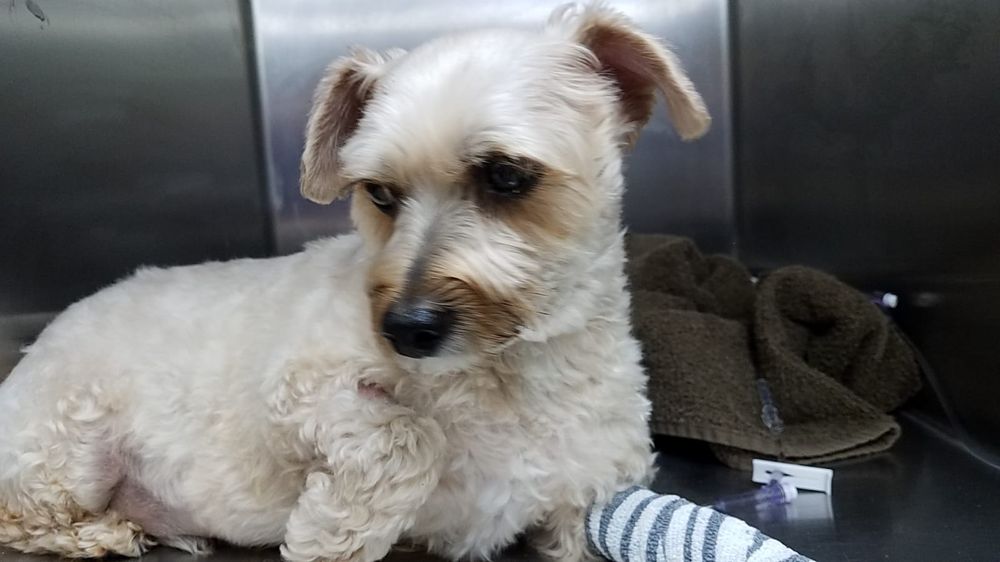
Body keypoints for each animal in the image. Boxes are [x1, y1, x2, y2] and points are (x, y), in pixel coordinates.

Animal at [0, 3, 709, 560]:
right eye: (380, 193)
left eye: (506, 175)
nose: (406, 330)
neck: (508, 374)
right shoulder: (292, 392)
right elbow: (407, 434)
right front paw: (332, 530)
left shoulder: (586, 498)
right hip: (64, 447)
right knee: (24, 518)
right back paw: (104, 533)